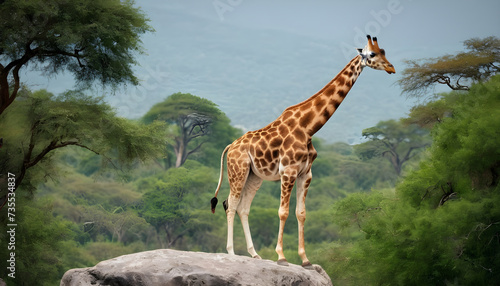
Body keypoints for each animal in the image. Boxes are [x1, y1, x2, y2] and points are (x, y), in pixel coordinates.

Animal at [210, 34, 394, 268]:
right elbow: (283, 212)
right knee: (230, 204)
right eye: (372, 54)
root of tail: (230, 146)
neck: (309, 127)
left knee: (243, 207)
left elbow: (301, 213)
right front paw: (281, 257)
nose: (391, 68)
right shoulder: (288, 171)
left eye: (384, 52)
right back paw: (232, 253)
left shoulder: (306, 173)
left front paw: (305, 259)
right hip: (238, 170)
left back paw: (255, 254)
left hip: (254, 176)